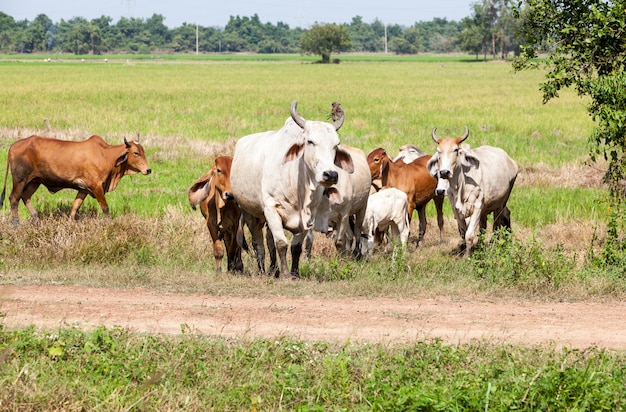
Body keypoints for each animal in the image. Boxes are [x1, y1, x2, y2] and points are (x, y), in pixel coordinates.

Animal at [0, 134, 151, 225]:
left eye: (143, 151)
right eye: (136, 153)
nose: (148, 170)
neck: (106, 156)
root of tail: (13, 146)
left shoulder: (83, 189)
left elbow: (75, 207)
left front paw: (70, 223)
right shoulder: (96, 186)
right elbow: (105, 207)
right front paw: (110, 224)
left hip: (34, 181)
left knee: (25, 197)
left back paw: (36, 219)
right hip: (20, 180)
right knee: (14, 198)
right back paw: (16, 224)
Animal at [230, 101, 356, 278]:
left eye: (336, 145)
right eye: (310, 141)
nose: (330, 174)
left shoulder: (309, 215)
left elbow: (296, 247)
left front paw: (295, 273)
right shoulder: (271, 208)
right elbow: (281, 243)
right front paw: (285, 274)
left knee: (269, 241)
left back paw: (273, 269)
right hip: (250, 213)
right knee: (258, 244)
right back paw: (263, 271)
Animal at [424, 126, 516, 254]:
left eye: (456, 150)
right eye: (439, 151)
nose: (444, 172)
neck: (461, 186)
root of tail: (509, 160)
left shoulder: (477, 207)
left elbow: (469, 234)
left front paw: (467, 255)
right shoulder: (456, 210)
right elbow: (463, 232)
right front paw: (464, 250)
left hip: (501, 202)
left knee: (498, 222)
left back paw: (495, 243)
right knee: (484, 225)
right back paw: (484, 244)